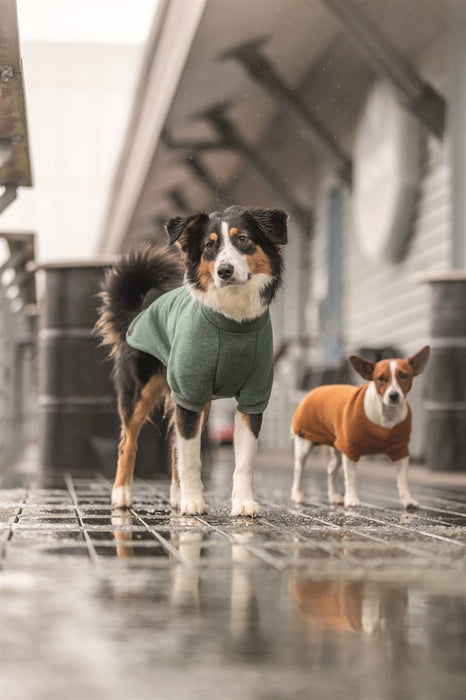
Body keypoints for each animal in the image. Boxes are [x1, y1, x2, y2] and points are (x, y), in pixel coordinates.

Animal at [97, 205, 288, 516]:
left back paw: (175, 496)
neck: (232, 318)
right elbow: (190, 456)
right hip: (142, 390)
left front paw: (243, 502)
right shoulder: (188, 393)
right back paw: (122, 494)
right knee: (129, 441)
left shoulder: (253, 397)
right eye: (209, 245)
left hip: (200, 400)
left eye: (243, 239)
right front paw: (193, 502)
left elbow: (244, 459)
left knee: (175, 443)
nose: (225, 271)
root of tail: (141, 309)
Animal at [292, 348, 430, 508]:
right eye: (380, 378)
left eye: (403, 375)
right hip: (305, 443)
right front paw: (352, 499)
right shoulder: (350, 450)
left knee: (331, 470)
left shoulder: (401, 451)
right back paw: (297, 494)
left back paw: (334, 496)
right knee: (299, 469)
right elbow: (351, 478)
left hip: (338, 448)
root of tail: (314, 390)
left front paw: (407, 499)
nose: (393, 395)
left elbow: (403, 480)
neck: (386, 415)